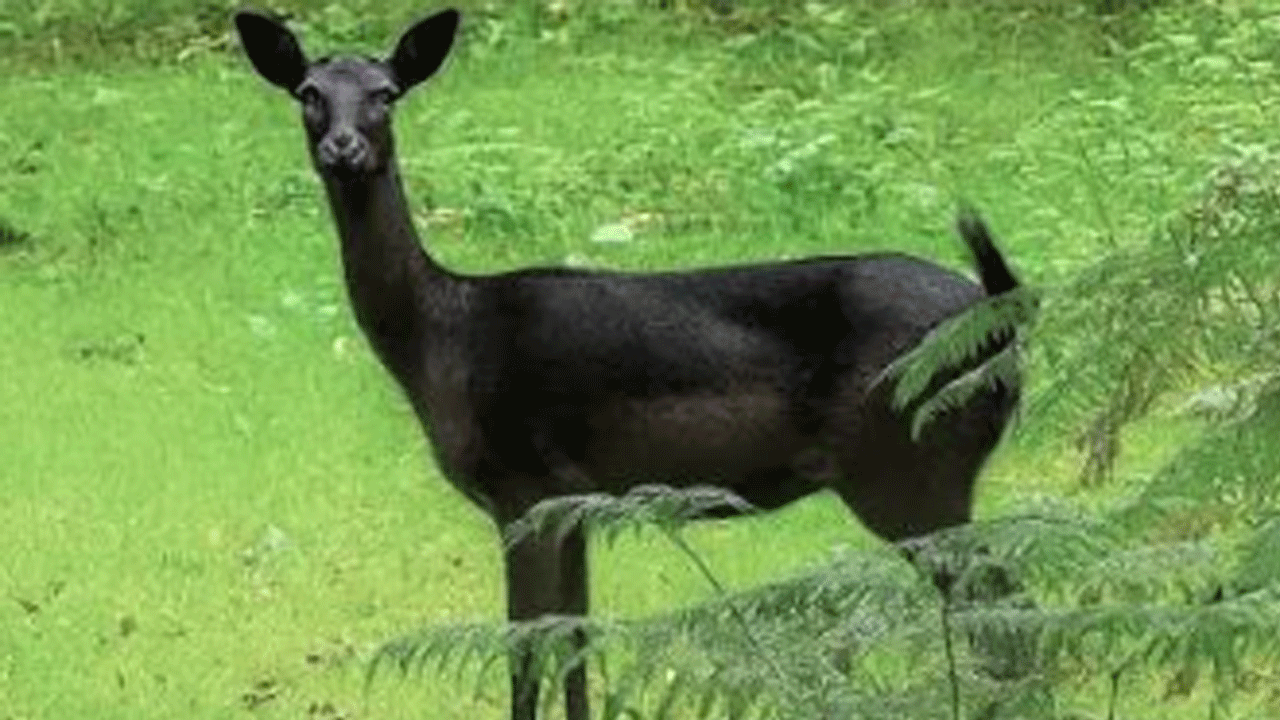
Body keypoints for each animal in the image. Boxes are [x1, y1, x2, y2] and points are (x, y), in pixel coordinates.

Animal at [234, 7, 1024, 720]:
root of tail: (1003, 313)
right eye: (307, 91)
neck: (444, 343)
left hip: (910, 464)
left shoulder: (522, 489)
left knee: (1005, 612)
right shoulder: (577, 504)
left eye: (385, 92)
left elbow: (526, 655)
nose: (343, 147)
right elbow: (576, 645)